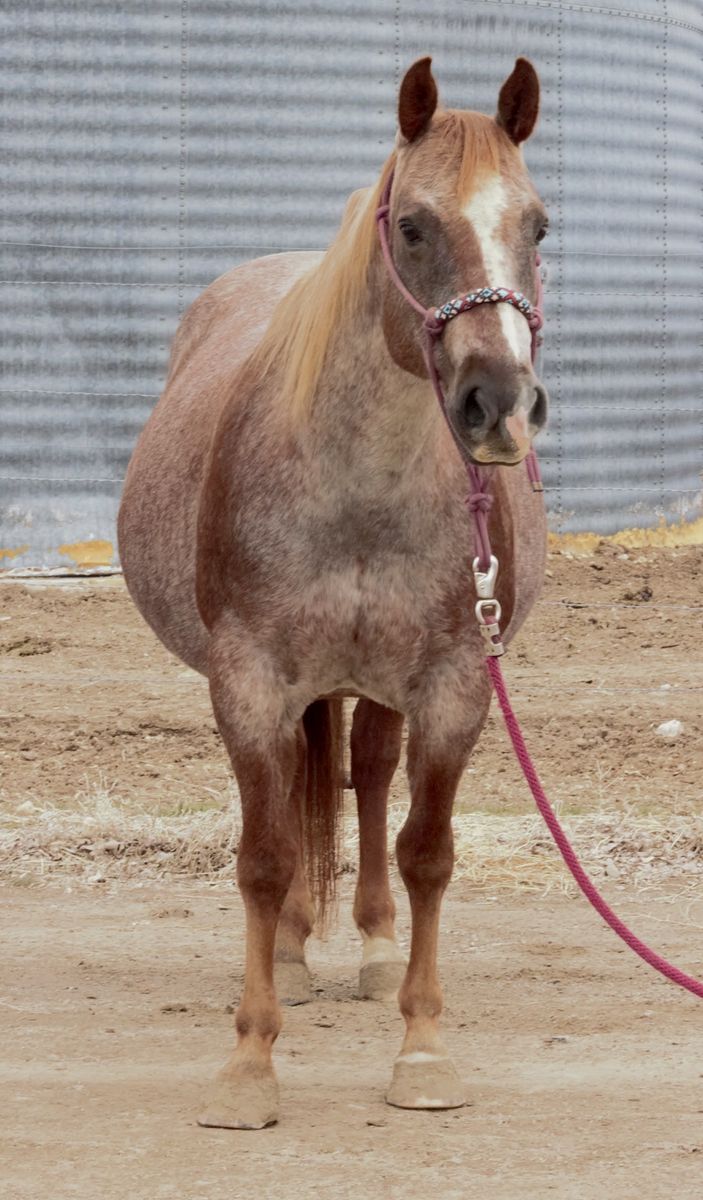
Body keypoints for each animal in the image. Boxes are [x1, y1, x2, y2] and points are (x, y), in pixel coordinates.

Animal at [118, 55, 549, 1128]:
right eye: (414, 227)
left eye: (537, 225)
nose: (499, 406)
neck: (358, 487)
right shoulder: (250, 684)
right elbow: (264, 856)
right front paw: (248, 1064)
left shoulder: (453, 687)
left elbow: (426, 850)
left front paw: (423, 1049)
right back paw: (293, 952)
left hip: (382, 688)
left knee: (368, 777)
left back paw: (373, 948)